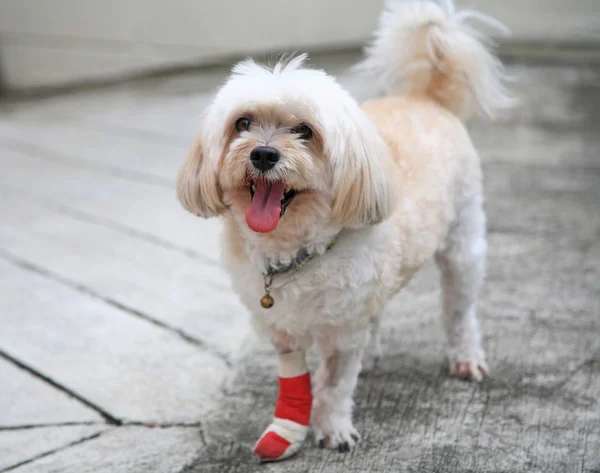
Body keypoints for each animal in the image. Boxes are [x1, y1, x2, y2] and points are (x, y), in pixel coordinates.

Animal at [176, 0, 512, 460]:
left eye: (305, 131)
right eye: (242, 123)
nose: (263, 154)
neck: (295, 252)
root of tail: (424, 97)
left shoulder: (342, 329)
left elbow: (335, 384)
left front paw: (332, 428)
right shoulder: (282, 327)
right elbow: (295, 378)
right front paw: (286, 430)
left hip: (463, 245)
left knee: (460, 310)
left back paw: (464, 356)